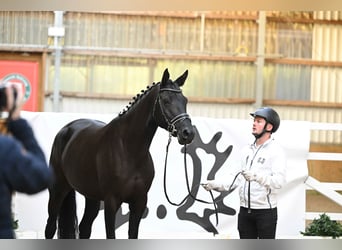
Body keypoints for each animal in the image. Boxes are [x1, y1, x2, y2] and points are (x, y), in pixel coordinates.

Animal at [44, 68, 195, 238]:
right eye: (166, 100)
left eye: (185, 101)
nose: (188, 133)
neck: (129, 151)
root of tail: (66, 129)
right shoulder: (111, 202)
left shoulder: (139, 202)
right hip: (58, 190)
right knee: (50, 228)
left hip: (91, 197)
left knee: (84, 228)